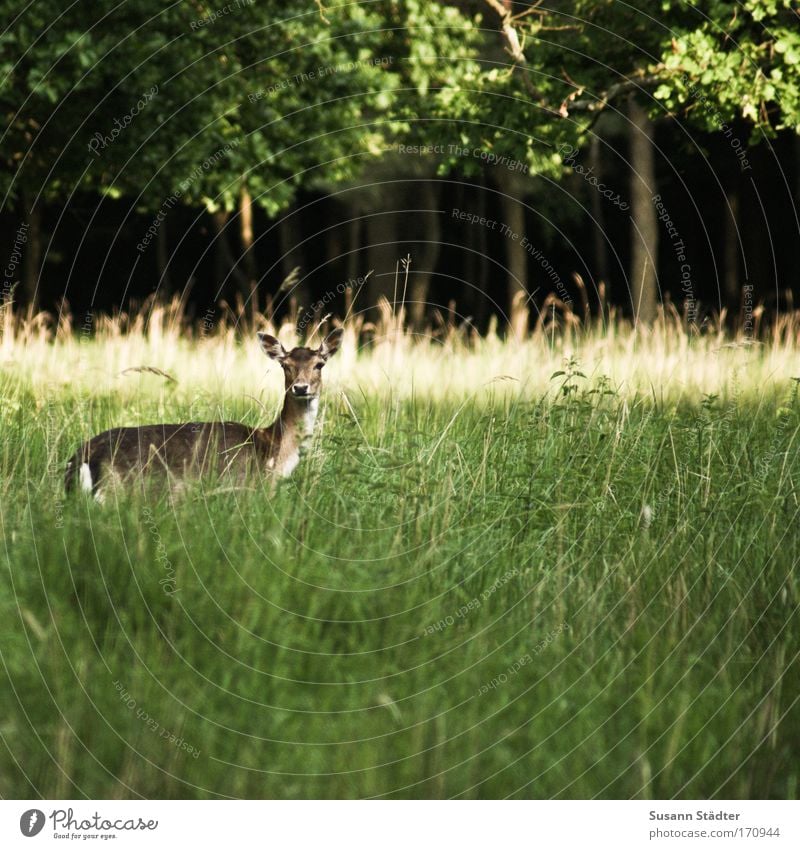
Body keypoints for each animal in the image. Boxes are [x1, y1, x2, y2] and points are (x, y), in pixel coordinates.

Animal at [64, 324, 342, 496]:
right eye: (285, 365)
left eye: (319, 364)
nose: (301, 387)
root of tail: (81, 458)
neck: (275, 452)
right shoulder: (247, 488)